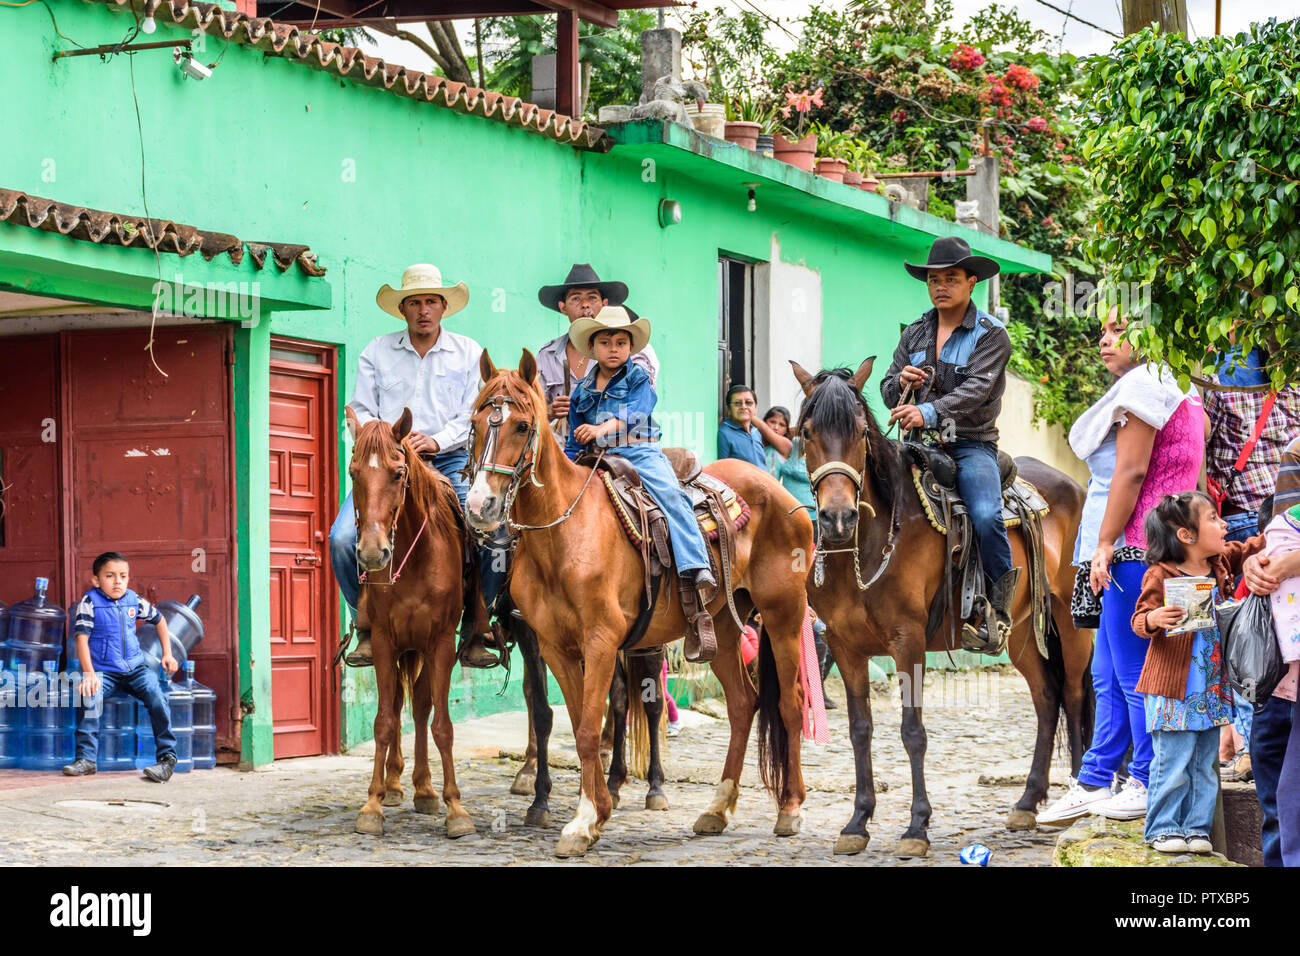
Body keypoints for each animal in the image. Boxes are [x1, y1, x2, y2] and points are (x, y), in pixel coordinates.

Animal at [345, 408, 478, 842]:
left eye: (399, 472)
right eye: (353, 472)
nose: (373, 554)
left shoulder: (440, 644)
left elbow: (441, 725)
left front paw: (455, 808)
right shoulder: (386, 641)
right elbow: (385, 721)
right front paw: (372, 804)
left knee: (420, 708)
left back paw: (424, 789)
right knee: (400, 704)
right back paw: (395, 785)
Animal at [465, 351, 811, 858]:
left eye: (523, 425)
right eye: (474, 423)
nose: (481, 506)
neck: (563, 533)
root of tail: (777, 489)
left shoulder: (601, 642)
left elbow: (592, 728)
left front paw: (584, 820)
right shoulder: (554, 647)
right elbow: (576, 724)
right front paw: (595, 812)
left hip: (784, 616)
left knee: (789, 703)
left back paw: (789, 809)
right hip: (724, 630)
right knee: (743, 705)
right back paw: (717, 808)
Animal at [790, 361, 1097, 858]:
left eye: (860, 431)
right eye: (807, 431)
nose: (838, 519)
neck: (871, 542)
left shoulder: (908, 641)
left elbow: (912, 732)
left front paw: (917, 826)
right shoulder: (844, 645)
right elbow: (860, 730)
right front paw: (857, 822)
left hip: (1072, 626)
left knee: (1072, 697)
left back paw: (1077, 798)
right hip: (1021, 634)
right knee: (1047, 699)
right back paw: (1028, 800)